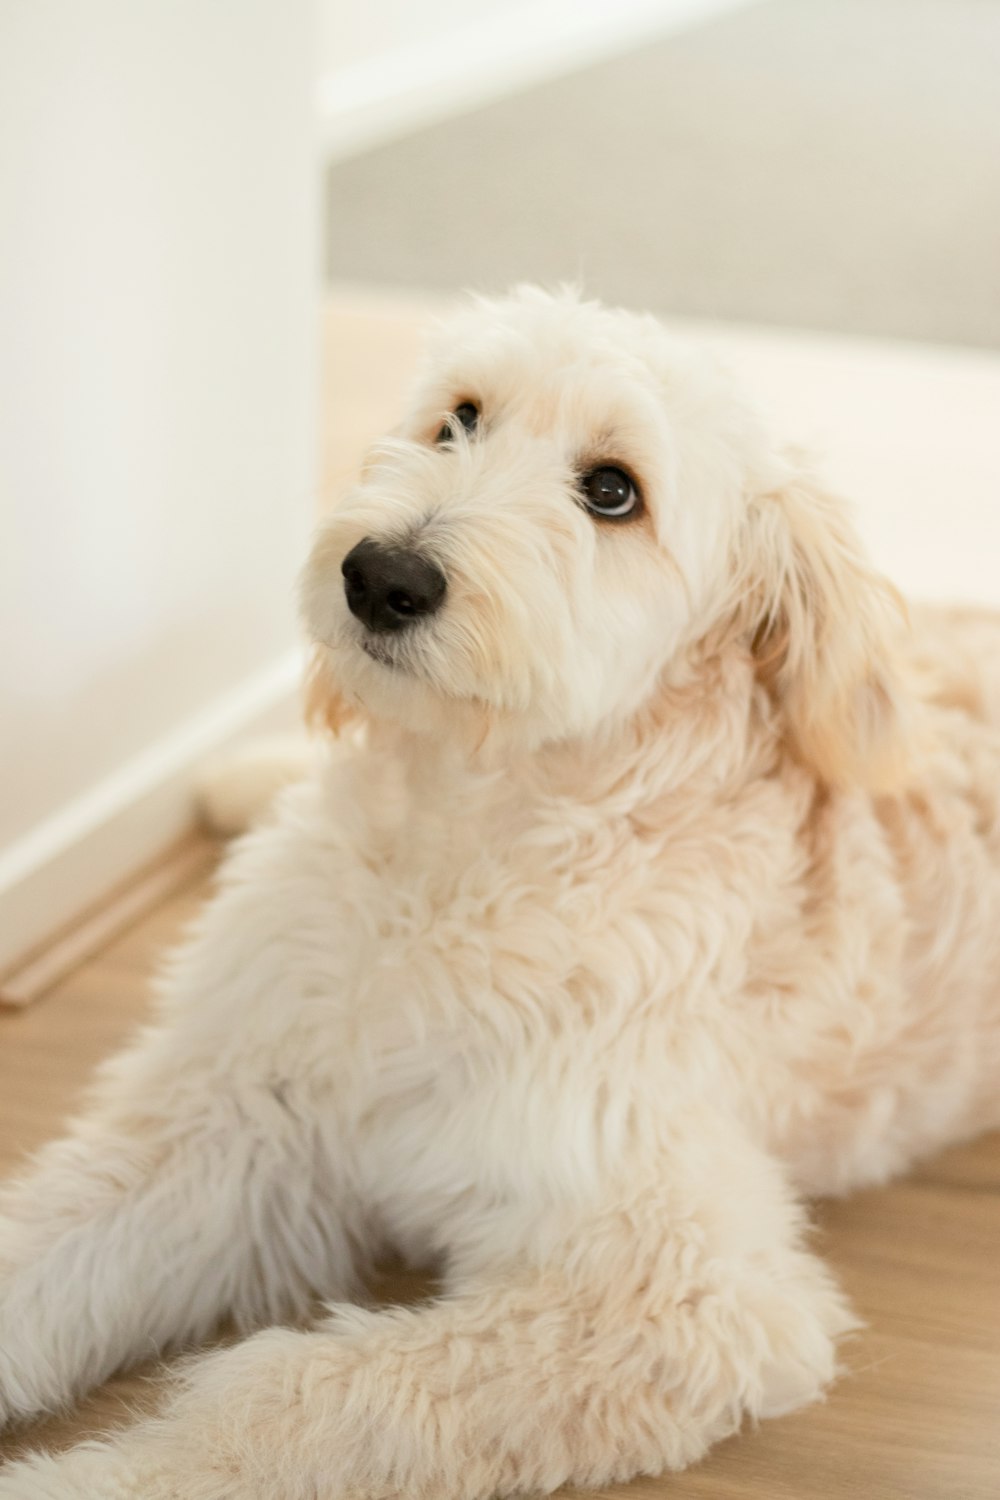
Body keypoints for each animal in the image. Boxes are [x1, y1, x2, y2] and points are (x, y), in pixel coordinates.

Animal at [1, 286, 1000, 1494]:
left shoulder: (677, 1298)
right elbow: (44, 1245)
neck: (458, 857)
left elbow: (298, 1395)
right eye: (460, 419)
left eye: (612, 490)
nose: (382, 576)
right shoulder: (234, 1128)